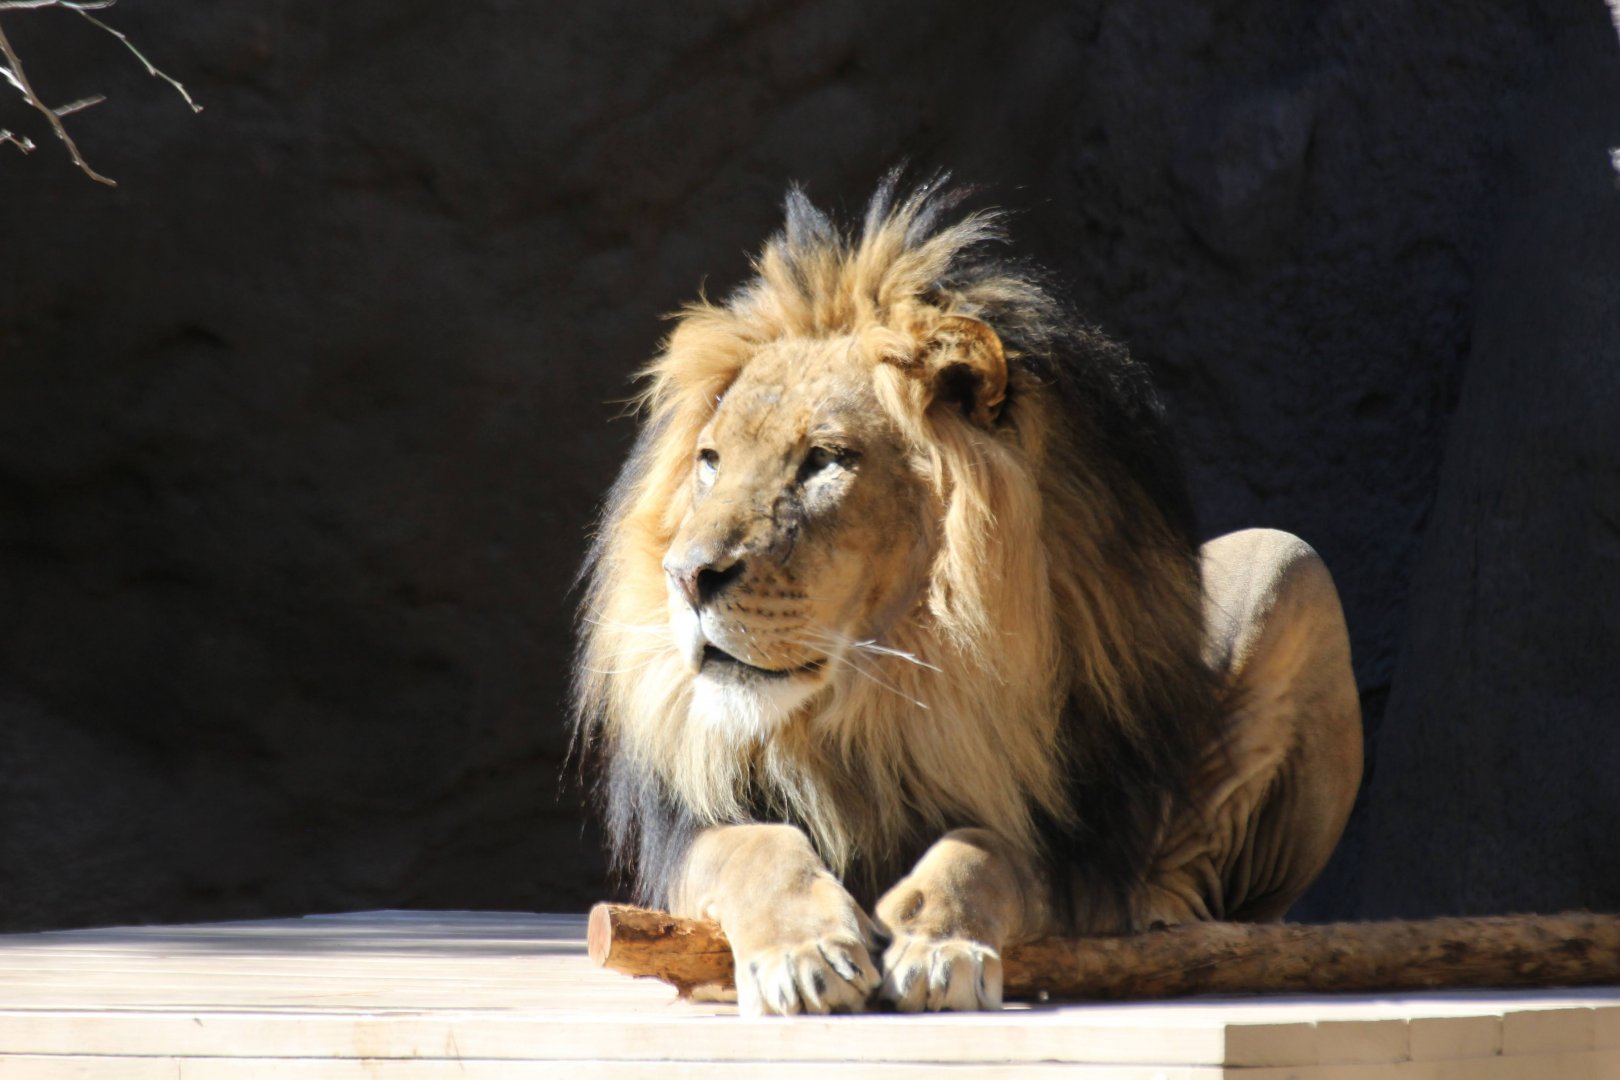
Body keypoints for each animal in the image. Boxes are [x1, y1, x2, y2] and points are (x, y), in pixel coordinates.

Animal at [574, 174, 1363, 1016]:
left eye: (825, 460)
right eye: (711, 461)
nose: (686, 576)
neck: (886, 686)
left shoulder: (1073, 846)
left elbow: (986, 850)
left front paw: (939, 945)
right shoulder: (689, 829)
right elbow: (752, 845)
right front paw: (804, 953)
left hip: (1292, 563)